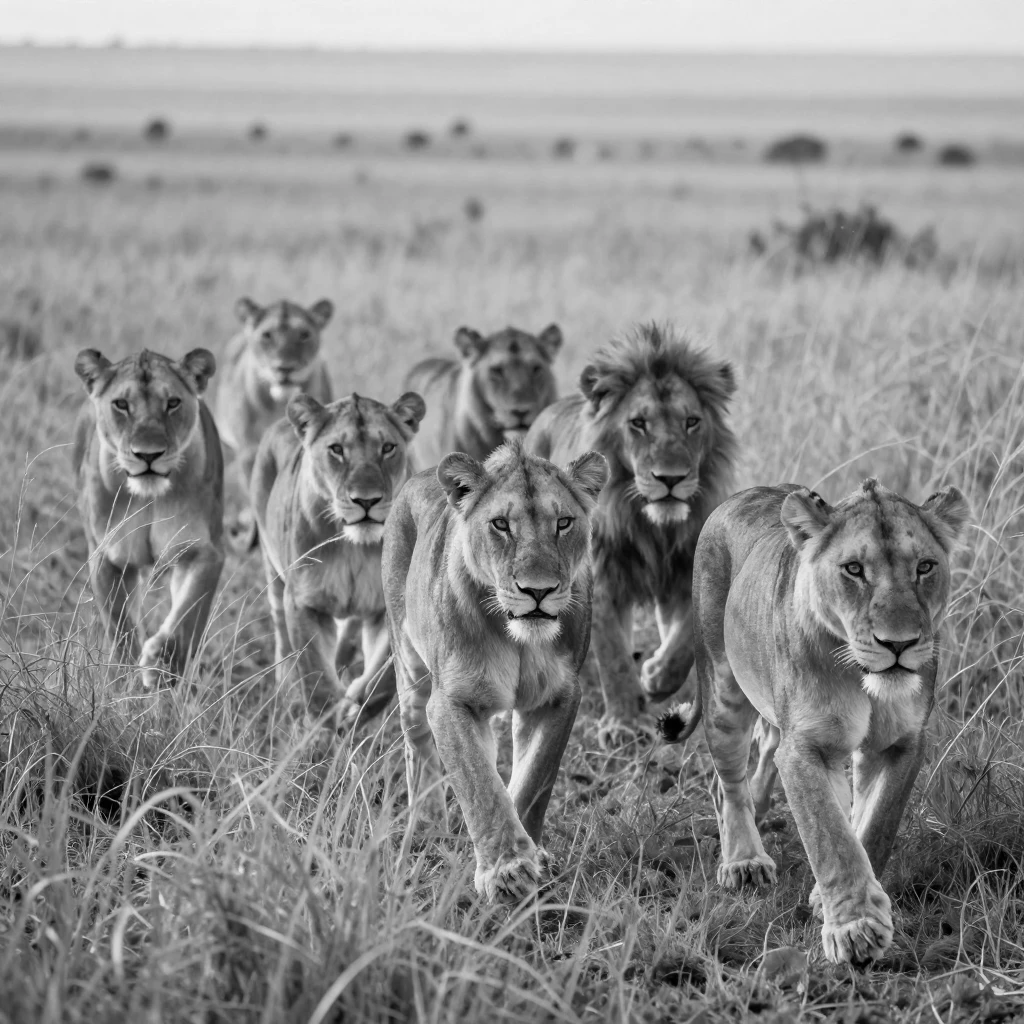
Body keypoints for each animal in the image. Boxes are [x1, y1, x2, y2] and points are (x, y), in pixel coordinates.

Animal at [72, 347, 225, 688]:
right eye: (121, 404)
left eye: (172, 403)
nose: (148, 455)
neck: (149, 497)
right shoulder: (107, 557)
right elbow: (120, 625)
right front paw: (125, 684)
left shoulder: (202, 551)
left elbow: (188, 614)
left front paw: (161, 665)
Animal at [251, 389, 426, 720]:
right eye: (336, 450)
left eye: (387, 448)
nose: (366, 500)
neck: (354, 548)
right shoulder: (303, 602)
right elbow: (315, 678)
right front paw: (329, 723)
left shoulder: (388, 605)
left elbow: (383, 679)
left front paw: (357, 703)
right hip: (272, 570)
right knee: (281, 635)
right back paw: (284, 688)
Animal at [383, 440, 608, 903]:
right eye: (501, 524)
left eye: (563, 523)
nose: (538, 591)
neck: (517, 639)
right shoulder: (452, 699)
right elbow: (479, 785)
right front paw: (506, 870)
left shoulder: (560, 696)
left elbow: (532, 781)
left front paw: (530, 859)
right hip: (409, 671)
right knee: (417, 747)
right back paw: (427, 823)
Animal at [525, 322, 737, 746]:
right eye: (638, 423)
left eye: (692, 422)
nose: (670, 479)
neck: (654, 527)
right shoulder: (602, 580)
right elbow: (613, 658)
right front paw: (622, 723)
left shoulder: (684, 573)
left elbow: (684, 642)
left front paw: (656, 679)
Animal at [658, 478, 970, 964]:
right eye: (854, 569)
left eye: (925, 567)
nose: (898, 644)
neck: (861, 678)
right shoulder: (805, 747)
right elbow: (829, 836)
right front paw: (854, 928)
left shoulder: (901, 744)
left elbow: (874, 826)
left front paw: (833, 902)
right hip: (721, 688)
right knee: (728, 781)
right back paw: (743, 860)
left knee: (768, 754)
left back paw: (760, 809)